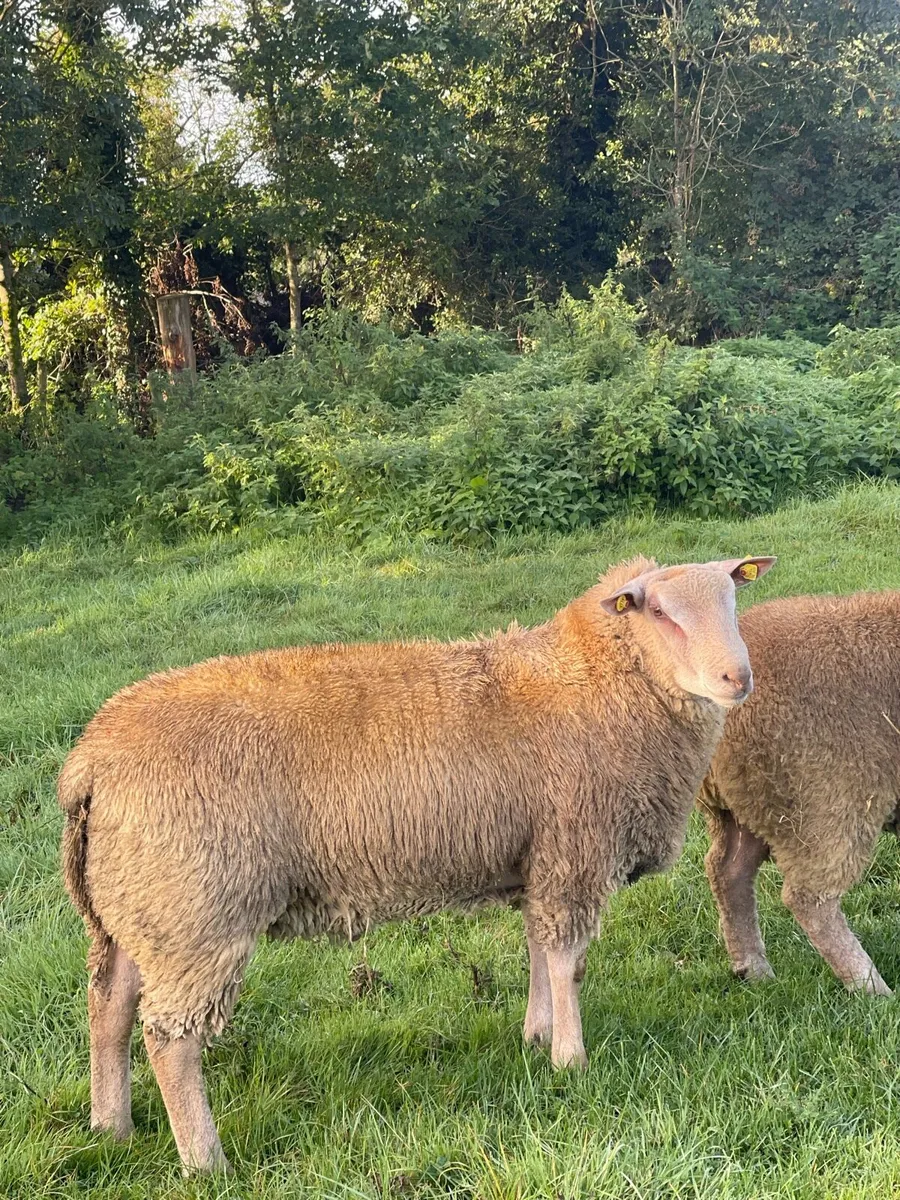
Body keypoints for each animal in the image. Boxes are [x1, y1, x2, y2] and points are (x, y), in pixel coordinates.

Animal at [59, 553, 774, 1172]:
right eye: (659, 613)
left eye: (733, 598)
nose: (737, 680)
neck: (599, 680)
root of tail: (90, 760)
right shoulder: (575, 852)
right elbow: (568, 963)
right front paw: (572, 1061)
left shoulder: (539, 858)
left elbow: (538, 951)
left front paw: (535, 1037)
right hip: (196, 913)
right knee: (169, 1040)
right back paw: (204, 1160)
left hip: (135, 910)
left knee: (109, 1006)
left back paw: (111, 1127)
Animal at [701, 590, 900, 997]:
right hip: (823, 800)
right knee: (809, 897)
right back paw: (871, 988)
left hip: (749, 801)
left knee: (727, 870)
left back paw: (753, 969)